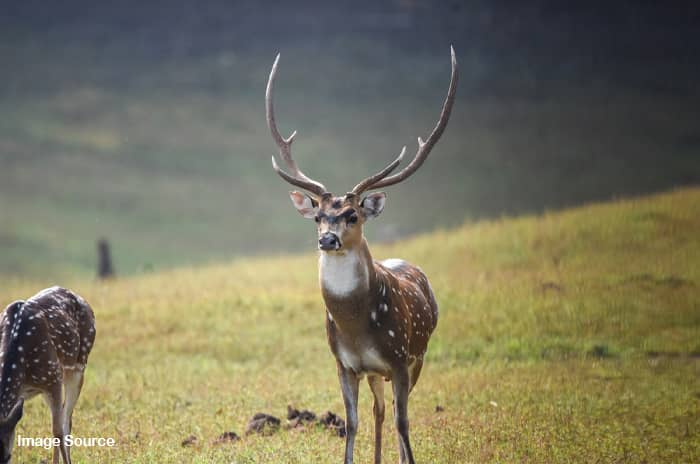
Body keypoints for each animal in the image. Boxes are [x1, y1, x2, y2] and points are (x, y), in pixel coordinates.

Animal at [266, 49, 456, 462]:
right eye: (318, 216)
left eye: (352, 215)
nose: (327, 239)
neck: (356, 325)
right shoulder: (344, 364)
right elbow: (352, 423)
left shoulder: (400, 357)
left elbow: (404, 422)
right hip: (374, 373)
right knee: (378, 410)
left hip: (420, 353)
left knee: (397, 412)